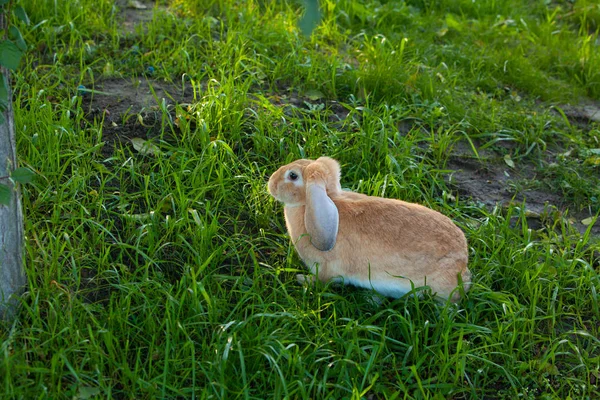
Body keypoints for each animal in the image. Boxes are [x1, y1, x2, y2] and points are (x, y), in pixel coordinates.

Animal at [270, 156, 472, 304]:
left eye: (293, 176)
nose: (271, 183)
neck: (307, 206)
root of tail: (463, 262)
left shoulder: (326, 269)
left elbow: (322, 280)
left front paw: (301, 280)